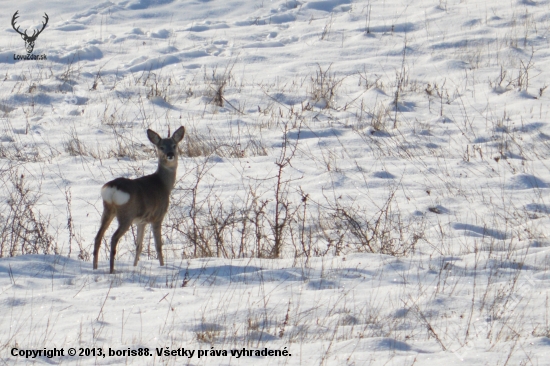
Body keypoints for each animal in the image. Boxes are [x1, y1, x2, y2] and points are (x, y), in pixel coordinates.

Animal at [94, 127, 187, 274]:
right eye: (161, 147)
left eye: (174, 145)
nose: (170, 155)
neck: (163, 184)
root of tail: (113, 189)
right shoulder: (157, 217)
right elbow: (158, 245)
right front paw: (162, 266)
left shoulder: (141, 221)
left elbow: (139, 246)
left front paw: (134, 266)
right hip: (126, 215)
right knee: (114, 238)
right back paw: (112, 270)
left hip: (108, 210)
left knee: (98, 236)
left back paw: (95, 267)